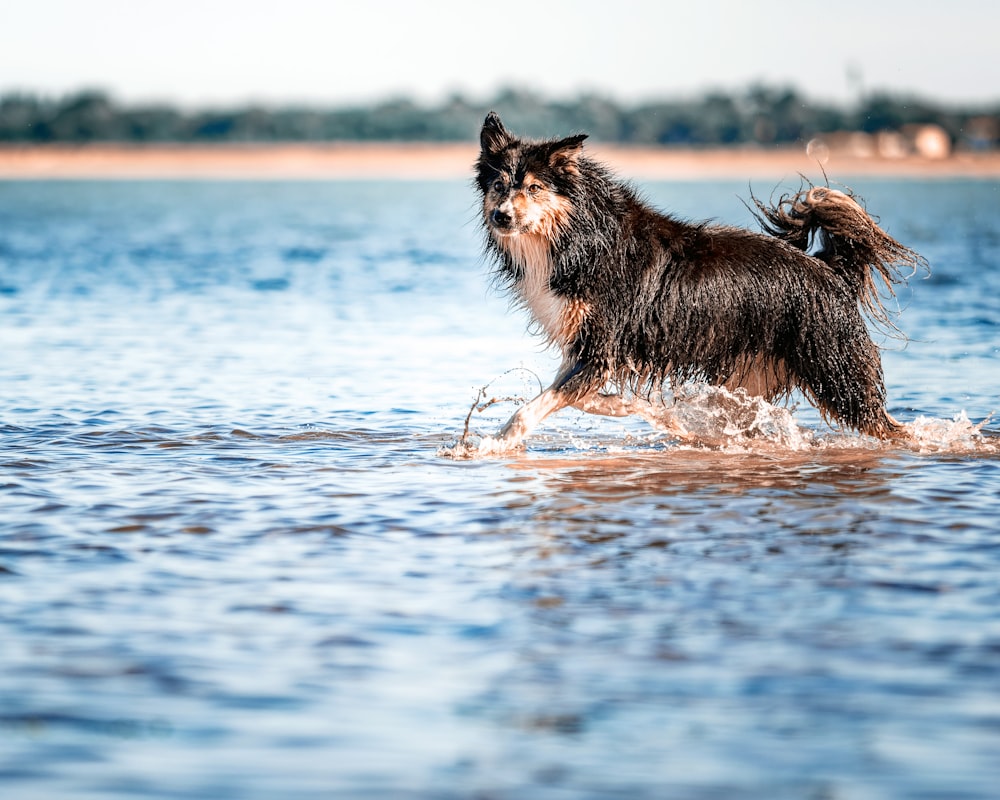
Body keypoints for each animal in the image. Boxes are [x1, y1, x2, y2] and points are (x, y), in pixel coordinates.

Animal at [472, 111, 924, 450]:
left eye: (534, 187)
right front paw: (656, 414)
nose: (501, 216)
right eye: (499, 185)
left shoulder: (601, 347)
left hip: (837, 371)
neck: (577, 236)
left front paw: (495, 442)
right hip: (753, 378)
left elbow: (533, 407)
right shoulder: (586, 348)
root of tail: (830, 271)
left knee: (886, 424)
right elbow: (586, 398)